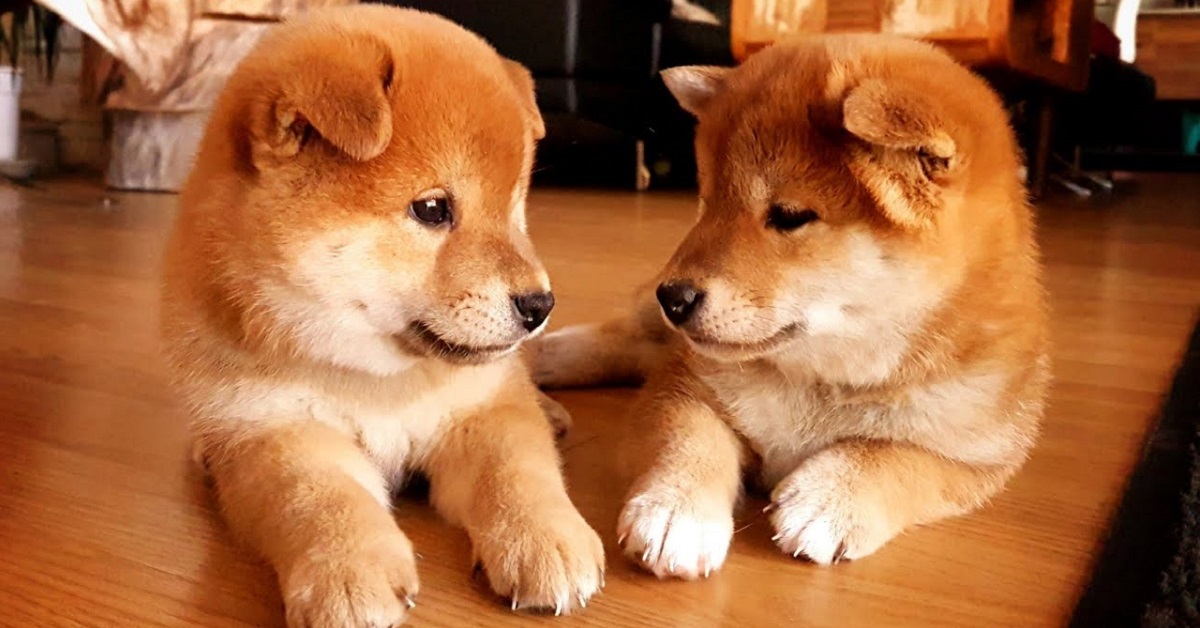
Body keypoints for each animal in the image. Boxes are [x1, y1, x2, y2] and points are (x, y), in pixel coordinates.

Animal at [162, 6, 609, 624]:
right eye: (433, 209)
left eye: (515, 207)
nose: (540, 305)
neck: (378, 379)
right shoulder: (275, 430)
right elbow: (321, 499)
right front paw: (347, 574)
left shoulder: (483, 408)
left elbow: (518, 470)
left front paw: (547, 537)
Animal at [530, 33, 1046, 573]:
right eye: (708, 202)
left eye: (790, 216)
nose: (673, 296)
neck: (822, 379)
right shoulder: (685, 387)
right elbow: (689, 439)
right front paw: (676, 512)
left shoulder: (976, 456)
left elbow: (894, 458)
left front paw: (831, 499)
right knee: (622, 337)